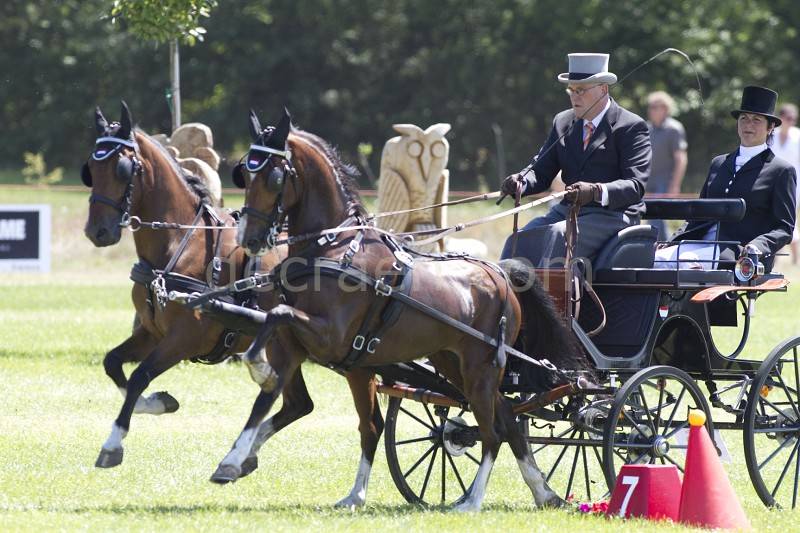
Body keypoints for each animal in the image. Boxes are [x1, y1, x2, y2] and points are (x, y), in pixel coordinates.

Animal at [218, 108, 589, 511]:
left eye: (274, 176)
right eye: (244, 174)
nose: (248, 239)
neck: (334, 248)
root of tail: (501, 274)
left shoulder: (330, 336)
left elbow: (276, 320)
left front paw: (256, 367)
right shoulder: (324, 352)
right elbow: (280, 401)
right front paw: (235, 459)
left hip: (481, 368)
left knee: (493, 432)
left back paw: (473, 501)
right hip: (453, 364)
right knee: (506, 420)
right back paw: (543, 491)